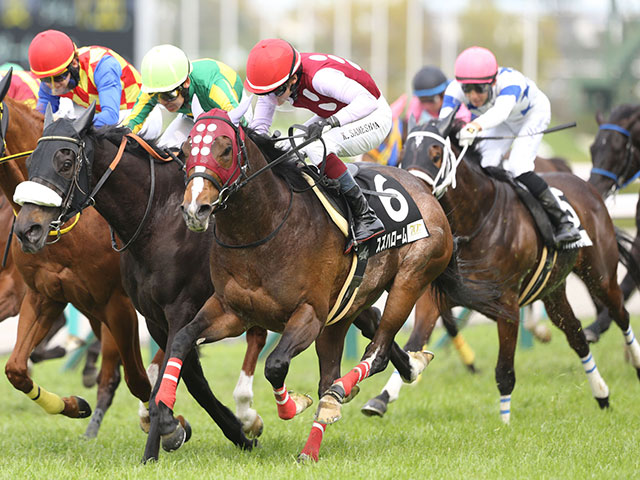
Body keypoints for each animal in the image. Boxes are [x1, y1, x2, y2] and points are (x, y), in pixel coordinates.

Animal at [400, 113, 640, 424]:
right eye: (405, 154)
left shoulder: (508, 306)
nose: (413, 195)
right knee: (577, 336)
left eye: (436, 154)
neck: (478, 219)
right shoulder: (438, 297)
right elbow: (414, 343)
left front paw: (504, 424)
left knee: (621, 315)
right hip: (553, 292)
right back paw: (601, 394)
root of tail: (588, 187)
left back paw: (635, 364)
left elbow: (504, 372)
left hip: (601, 276)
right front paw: (380, 400)